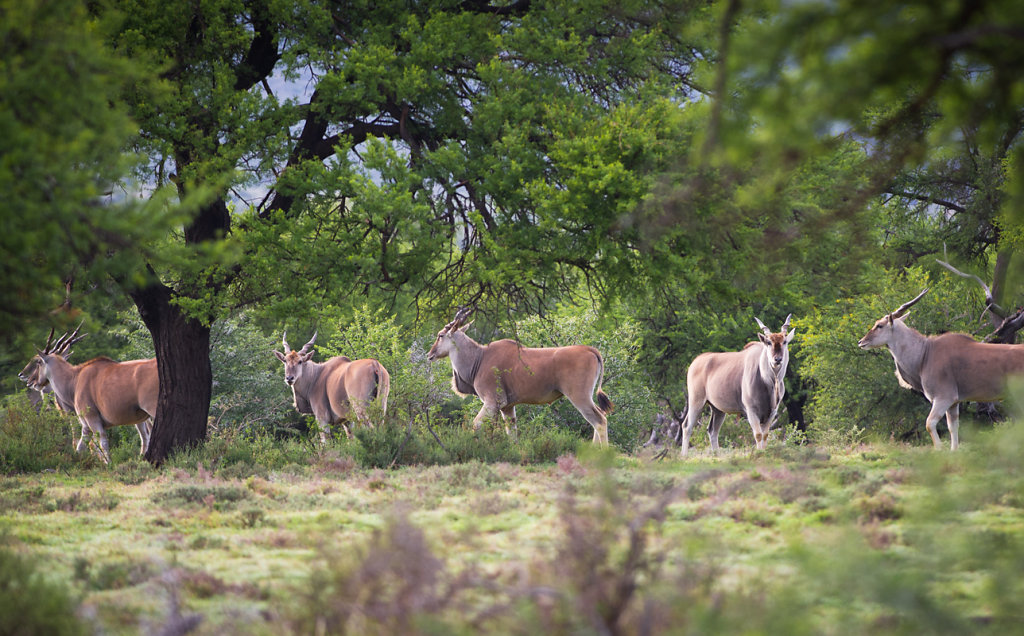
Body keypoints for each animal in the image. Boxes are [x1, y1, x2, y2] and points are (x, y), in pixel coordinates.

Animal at [425, 307, 614, 442]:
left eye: (440, 335)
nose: (429, 354)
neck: (479, 358)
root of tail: (590, 349)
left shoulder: (492, 402)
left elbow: (477, 424)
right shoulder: (507, 407)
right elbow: (512, 432)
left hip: (579, 396)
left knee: (599, 420)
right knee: (600, 417)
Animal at [684, 315, 794, 454]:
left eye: (785, 342)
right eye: (768, 342)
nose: (777, 359)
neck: (769, 382)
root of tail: (695, 362)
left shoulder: (772, 412)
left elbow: (765, 435)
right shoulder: (751, 411)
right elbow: (758, 435)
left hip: (717, 409)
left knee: (712, 430)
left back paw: (716, 454)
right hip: (696, 401)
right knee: (687, 426)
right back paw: (684, 455)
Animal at [851, 286, 1024, 446]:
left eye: (879, 325)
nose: (861, 342)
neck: (925, 353)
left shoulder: (943, 398)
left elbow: (929, 424)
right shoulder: (954, 403)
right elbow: (953, 428)